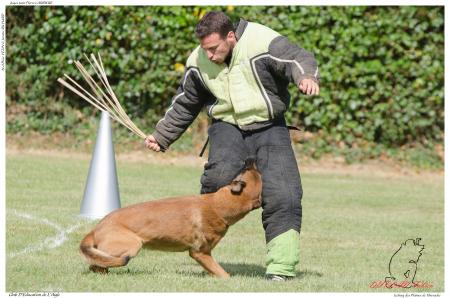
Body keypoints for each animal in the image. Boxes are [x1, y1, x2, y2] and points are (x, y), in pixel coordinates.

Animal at [79, 159, 262, 278]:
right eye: (248, 171)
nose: (251, 159)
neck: (217, 205)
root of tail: (96, 228)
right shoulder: (200, 253)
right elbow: (224, 274)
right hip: (133, 244)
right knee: (99, 265)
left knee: (96, 265)